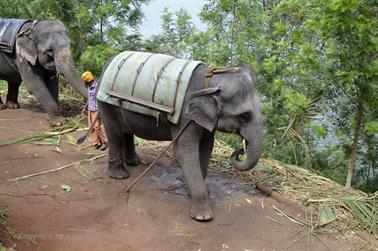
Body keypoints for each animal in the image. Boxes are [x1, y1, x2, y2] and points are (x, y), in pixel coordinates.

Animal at [97, 52, 262, 221]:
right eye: (244, 116)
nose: (240, 151)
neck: (210, 81)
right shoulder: (184, 118)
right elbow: (185, 152)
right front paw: (203, 217)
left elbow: (206, 148)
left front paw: (193, 193)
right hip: (106, 104)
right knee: (115, 133)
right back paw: (120, 176)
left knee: (127, 132)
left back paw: (134, 163)